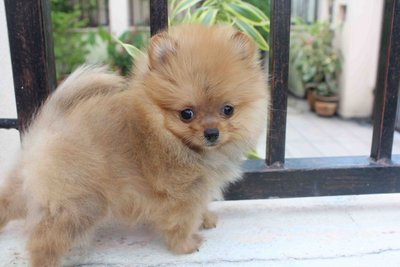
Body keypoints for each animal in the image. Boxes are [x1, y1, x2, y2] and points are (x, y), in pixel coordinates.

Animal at [1, 24, 268, 266]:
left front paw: (206, 218)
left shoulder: (198, 189)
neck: (166, 132)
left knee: (9, 201)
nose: (212, 133)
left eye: (228, 110)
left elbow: (200, 209)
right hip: (80, 204)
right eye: (187, 114)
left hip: (31, 186)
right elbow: (181, 223)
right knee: (45, 241)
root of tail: (50, 123)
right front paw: (186, 245)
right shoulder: (182, 195)